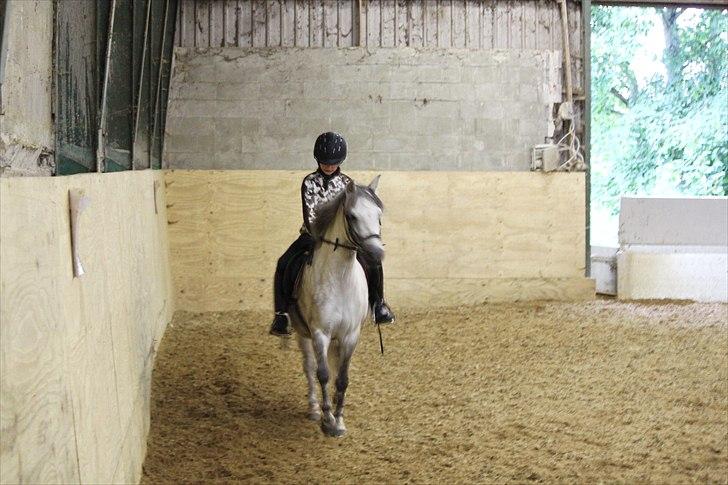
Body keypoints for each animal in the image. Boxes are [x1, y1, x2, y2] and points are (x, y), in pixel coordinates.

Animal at [288, 175, 384, 437]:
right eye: (352, 216)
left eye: (379, 214)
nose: (376, 254)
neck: (340, 279)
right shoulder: (320, 333)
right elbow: (322, 374)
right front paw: (327, 420)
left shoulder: (350, 335)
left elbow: (342, 378)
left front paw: (339, 420)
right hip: (303, 334)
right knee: (309, 366)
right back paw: (313, 409)